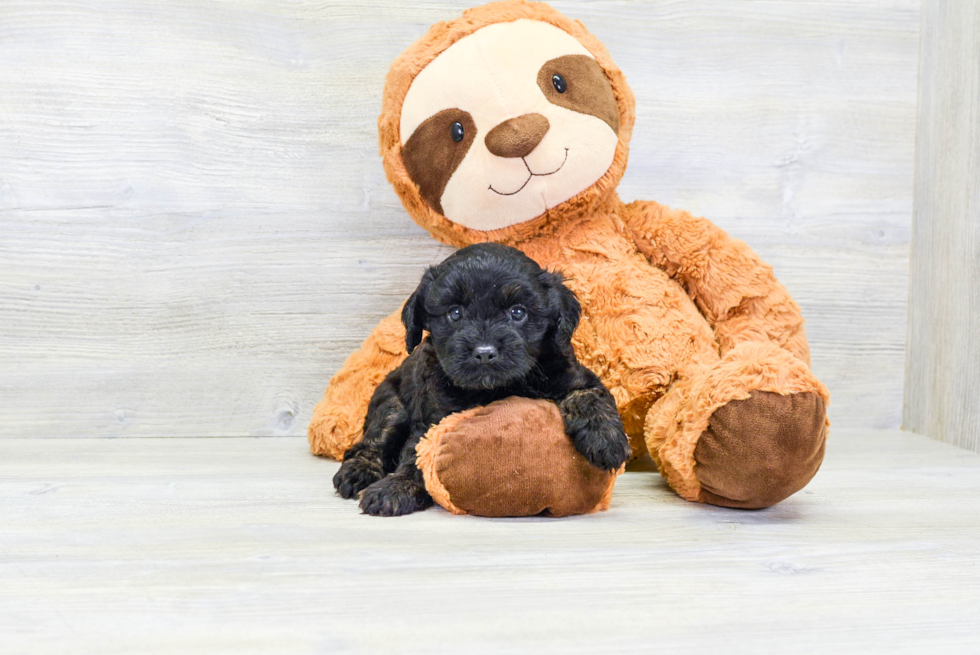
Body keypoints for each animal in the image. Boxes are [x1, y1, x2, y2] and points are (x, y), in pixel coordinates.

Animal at [334, 242, 632, 516]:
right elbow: (418, 452)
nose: (485, 353)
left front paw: (607, 440)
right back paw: (358, 471)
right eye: (455, 313)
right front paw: (396, 488)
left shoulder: (573, 374)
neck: (499, 387)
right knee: (374, 440)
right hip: (390, 402)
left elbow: (590, 395)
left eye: (518, 312)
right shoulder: (431, 414)